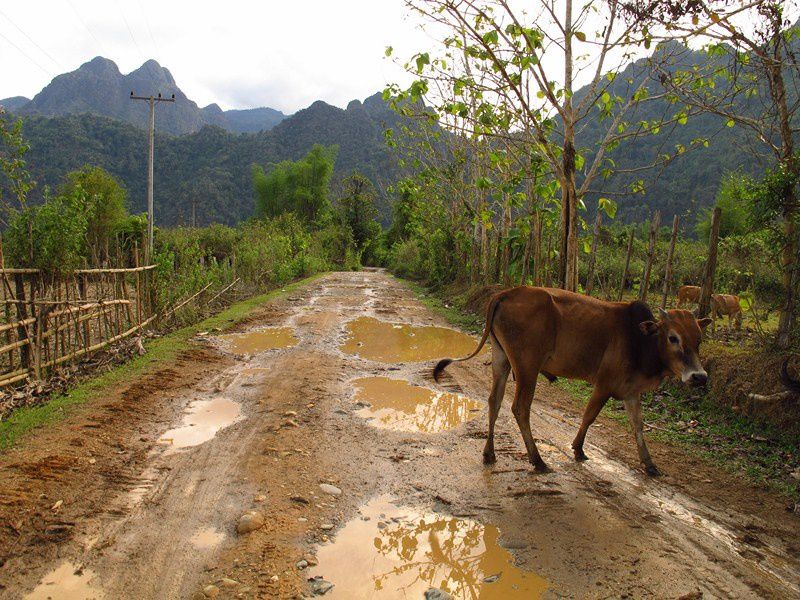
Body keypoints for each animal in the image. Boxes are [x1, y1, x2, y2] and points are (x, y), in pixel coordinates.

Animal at [434, 288, 708, 476]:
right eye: (673, 337)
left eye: (699, 339)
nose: (699, 377)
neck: (640, 339)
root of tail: (506, 293)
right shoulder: (604, 384)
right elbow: (589, 416)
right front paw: (578, 448)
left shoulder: (631, 391)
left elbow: (638, 425)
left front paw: (649, 464)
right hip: (527, 368)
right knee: (520, 408)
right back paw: (537, 460)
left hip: (501, 359)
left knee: (494, 401)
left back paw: (489, 453)